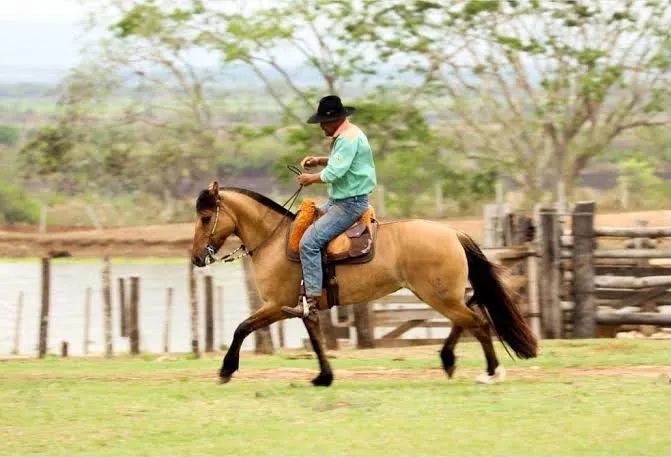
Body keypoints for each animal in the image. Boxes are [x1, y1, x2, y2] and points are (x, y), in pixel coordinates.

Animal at [191, 181, 537, 386]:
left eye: (206, 218)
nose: (196, 257)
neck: (276, 240)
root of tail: (452, 233)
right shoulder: (301, 307)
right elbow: (315, 339)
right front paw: (324, 377)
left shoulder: (276, 305)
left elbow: (242, 328)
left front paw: (226, 369)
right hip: (442, 296)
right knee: (466, 319)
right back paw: (449, 360)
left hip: (438, 295)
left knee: (477, 322)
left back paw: (490, 372)